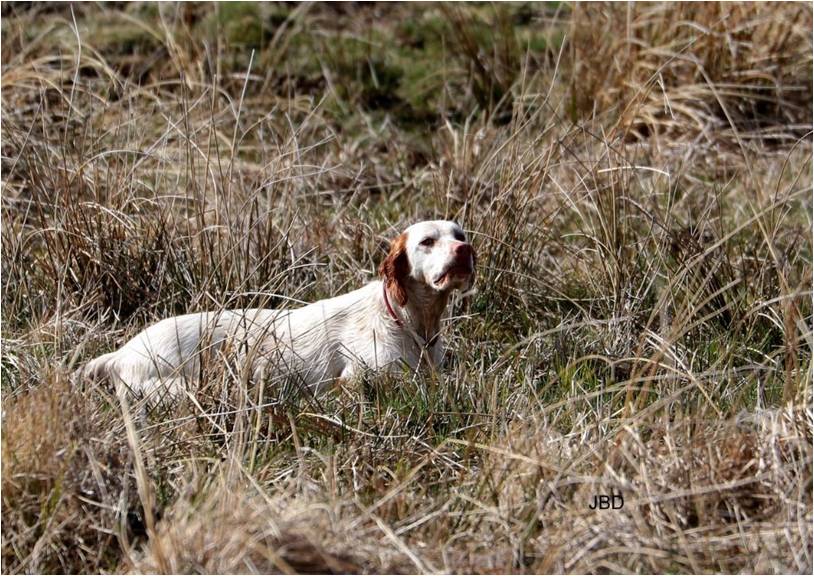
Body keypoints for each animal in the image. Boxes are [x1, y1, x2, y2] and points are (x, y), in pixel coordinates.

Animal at [79, 218, 474, 398]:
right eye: (427, 241)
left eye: (460, 235)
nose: (464, 251)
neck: (411, 322)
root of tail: (122, 352)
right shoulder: (360, 378)